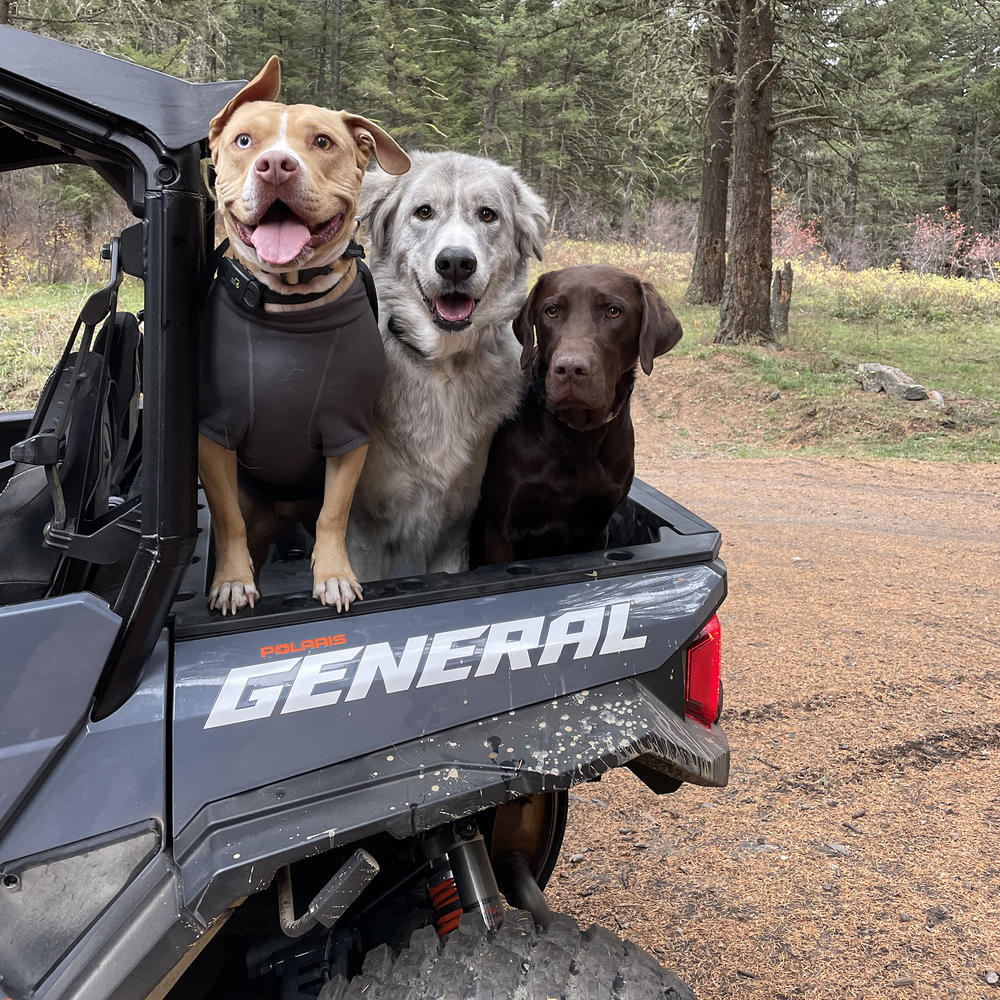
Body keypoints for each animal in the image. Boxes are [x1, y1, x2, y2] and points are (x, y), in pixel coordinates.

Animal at [199, 60, 410, 616]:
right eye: (244, 140)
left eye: (321, 141)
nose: (275, 165)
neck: (290, 303)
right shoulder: (214, 434)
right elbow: (226, 519)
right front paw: (232, 581)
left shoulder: (349, 434)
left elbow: (333, 514)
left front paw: (333, 575)